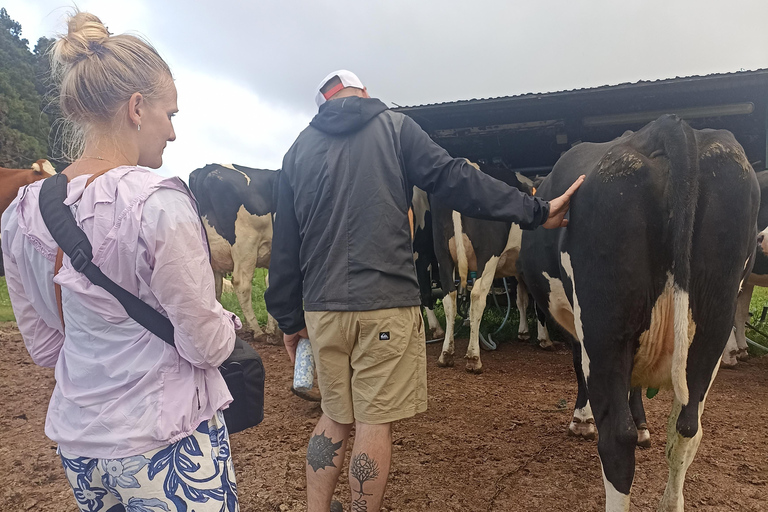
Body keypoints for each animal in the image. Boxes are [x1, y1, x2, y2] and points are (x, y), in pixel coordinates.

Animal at [188, 162, 280, 342]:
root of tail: (207, 168)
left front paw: (273, 329)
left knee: (214, 287)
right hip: (246, 244)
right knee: (241, 283)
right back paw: (256, 330)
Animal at [516, 116, 756, 512]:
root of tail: (669, 125)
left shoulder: (580, 327)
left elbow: (578, 366)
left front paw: (582, 420)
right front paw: (644, 425)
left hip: (605, 329)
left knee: (617, 439)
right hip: (713, 326)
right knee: (686, 430)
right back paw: (671, 502)